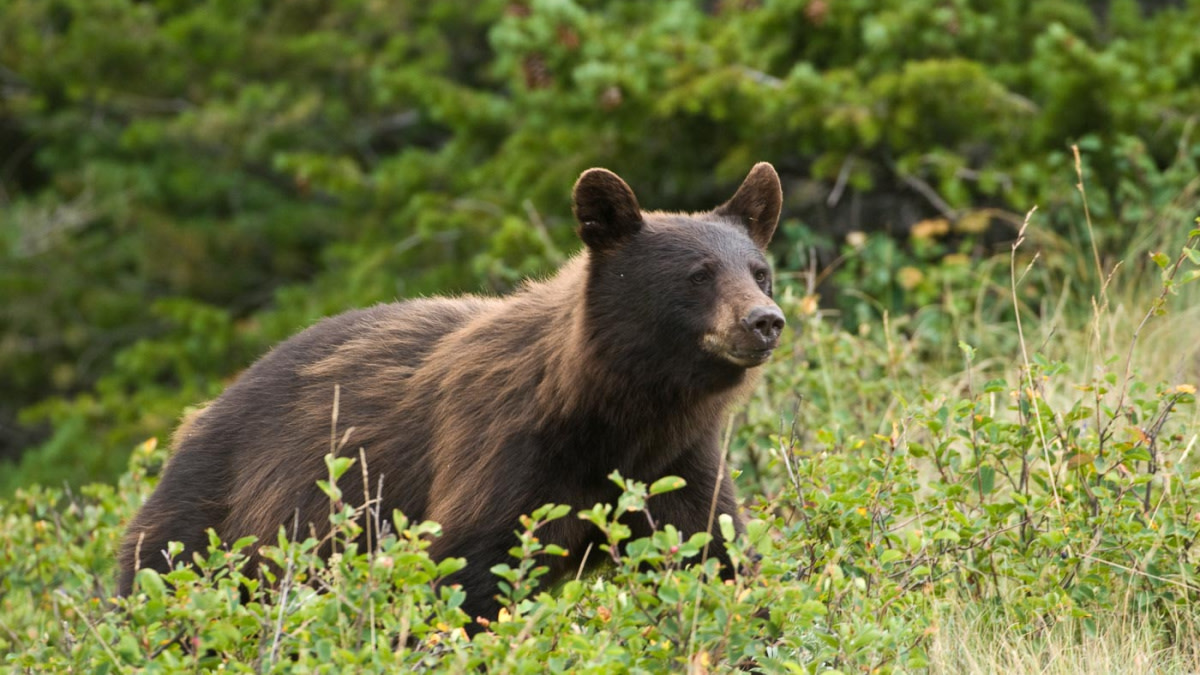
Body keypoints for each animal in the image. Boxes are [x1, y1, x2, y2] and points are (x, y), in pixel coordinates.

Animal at [117, 159, 782, 624]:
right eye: (697, 276)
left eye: (760, 271)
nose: (765, 321)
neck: (618, 414)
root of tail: (196, 418)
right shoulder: (504, 454)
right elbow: (469, 575)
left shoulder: (676, 465)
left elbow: (714, 552)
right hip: (213, 528)